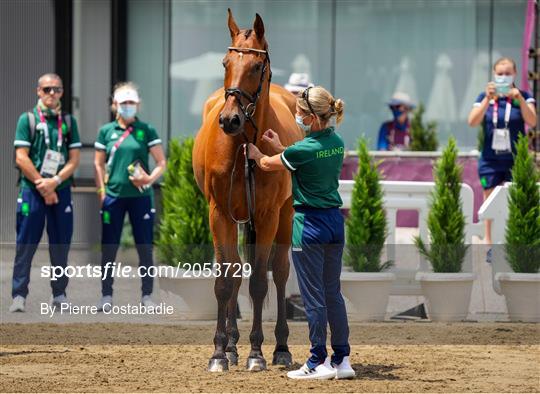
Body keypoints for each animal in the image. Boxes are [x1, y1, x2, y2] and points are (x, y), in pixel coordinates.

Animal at [192, 10, 302, 372]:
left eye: (256, 66)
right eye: (225, 62)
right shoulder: (219, 214)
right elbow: (226, 280)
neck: (242, 147)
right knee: (238, 271)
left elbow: (259, 283)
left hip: (285, 215)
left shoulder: (266, 216)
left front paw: (257, 353)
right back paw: (231, 347)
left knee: (279, 272)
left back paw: (280, 346)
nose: (229, 120)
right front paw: (219, 352)